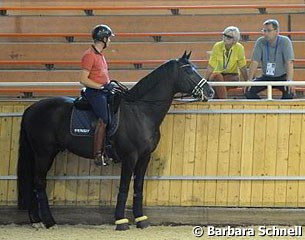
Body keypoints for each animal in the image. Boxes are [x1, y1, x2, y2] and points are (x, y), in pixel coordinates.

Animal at [17, 53, 214, 231]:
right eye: (188, 71)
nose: (210, 91)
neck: (140, 112)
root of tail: (31, 108)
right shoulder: (129, 157)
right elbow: (124, 187)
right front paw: (121, 221)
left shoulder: (145, 157)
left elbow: (138, 186)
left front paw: (141, 220)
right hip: (43, 153)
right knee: (39, 183)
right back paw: (48, 221)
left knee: (34, 183)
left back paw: (37, 220)